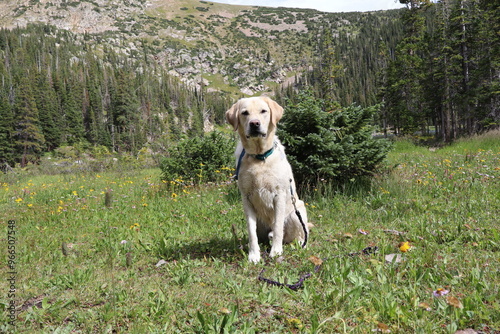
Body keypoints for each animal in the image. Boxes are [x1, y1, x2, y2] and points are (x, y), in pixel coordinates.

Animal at [225, 96, 306, 264]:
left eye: (263, 111)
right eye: (244, 113)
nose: (254, 123)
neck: (259, 157)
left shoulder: (279, 195)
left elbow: (278, 227)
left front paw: (276, 251)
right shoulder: (246, 198)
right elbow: (251, 232)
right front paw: (253, 255)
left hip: (297, 213)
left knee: (298, 233)